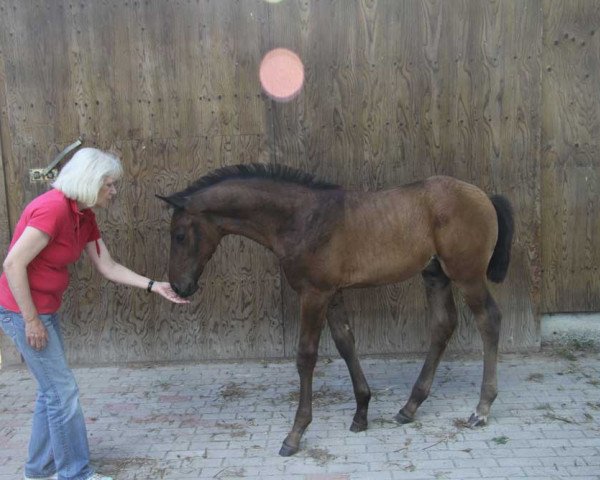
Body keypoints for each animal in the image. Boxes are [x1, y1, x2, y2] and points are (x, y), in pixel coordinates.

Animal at [157, 163, 512, 456]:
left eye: (179, 235)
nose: (179, 286)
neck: (301, 219)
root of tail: (484, 196)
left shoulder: (314, 294)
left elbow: (306, 356)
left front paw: (295, 434)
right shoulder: (333, 293)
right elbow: (345, 343)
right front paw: (362, 413)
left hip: (466, 275)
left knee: (489, 320)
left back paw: (482, 409)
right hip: (435, 275)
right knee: (443, 325)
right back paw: (409, 407)